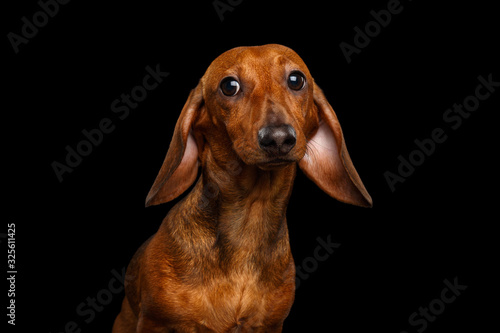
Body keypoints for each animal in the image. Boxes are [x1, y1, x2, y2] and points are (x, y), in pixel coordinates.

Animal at [113, 44, 372, 332]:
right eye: (229, 86)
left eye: (296, 80)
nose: (278, 138)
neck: (250, 220)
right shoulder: (154, 322)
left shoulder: (270, 325)